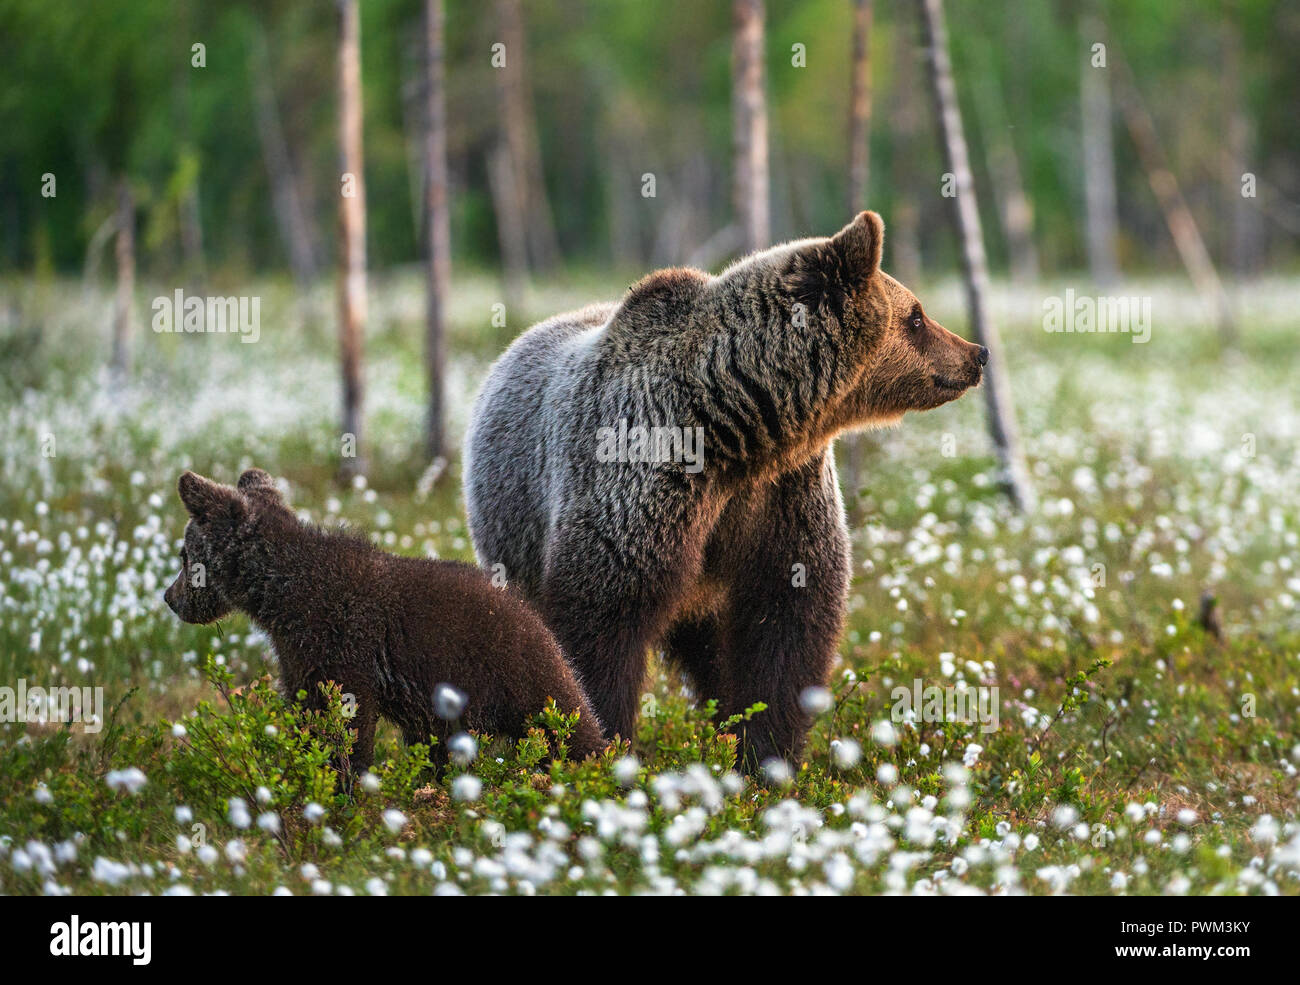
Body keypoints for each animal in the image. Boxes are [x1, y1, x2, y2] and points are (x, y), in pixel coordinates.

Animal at [163, 468, 607, 772]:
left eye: (184, 555)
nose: (170, 598)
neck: (278, 594)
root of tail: (536, 617)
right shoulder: (298, 655)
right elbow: (306, 714)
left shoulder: (341, 640)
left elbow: (348, 721)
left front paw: (343, 784)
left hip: (523, 676)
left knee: (574, 730)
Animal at [464, 211, 986, 770]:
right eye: (917, 316)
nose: (977, 353)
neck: (738, 432)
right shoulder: (640, 486)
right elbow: (600, 623)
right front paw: (598, 742)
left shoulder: (782, 495)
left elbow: (786, 628)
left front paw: (766, 754)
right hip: (512, 532)